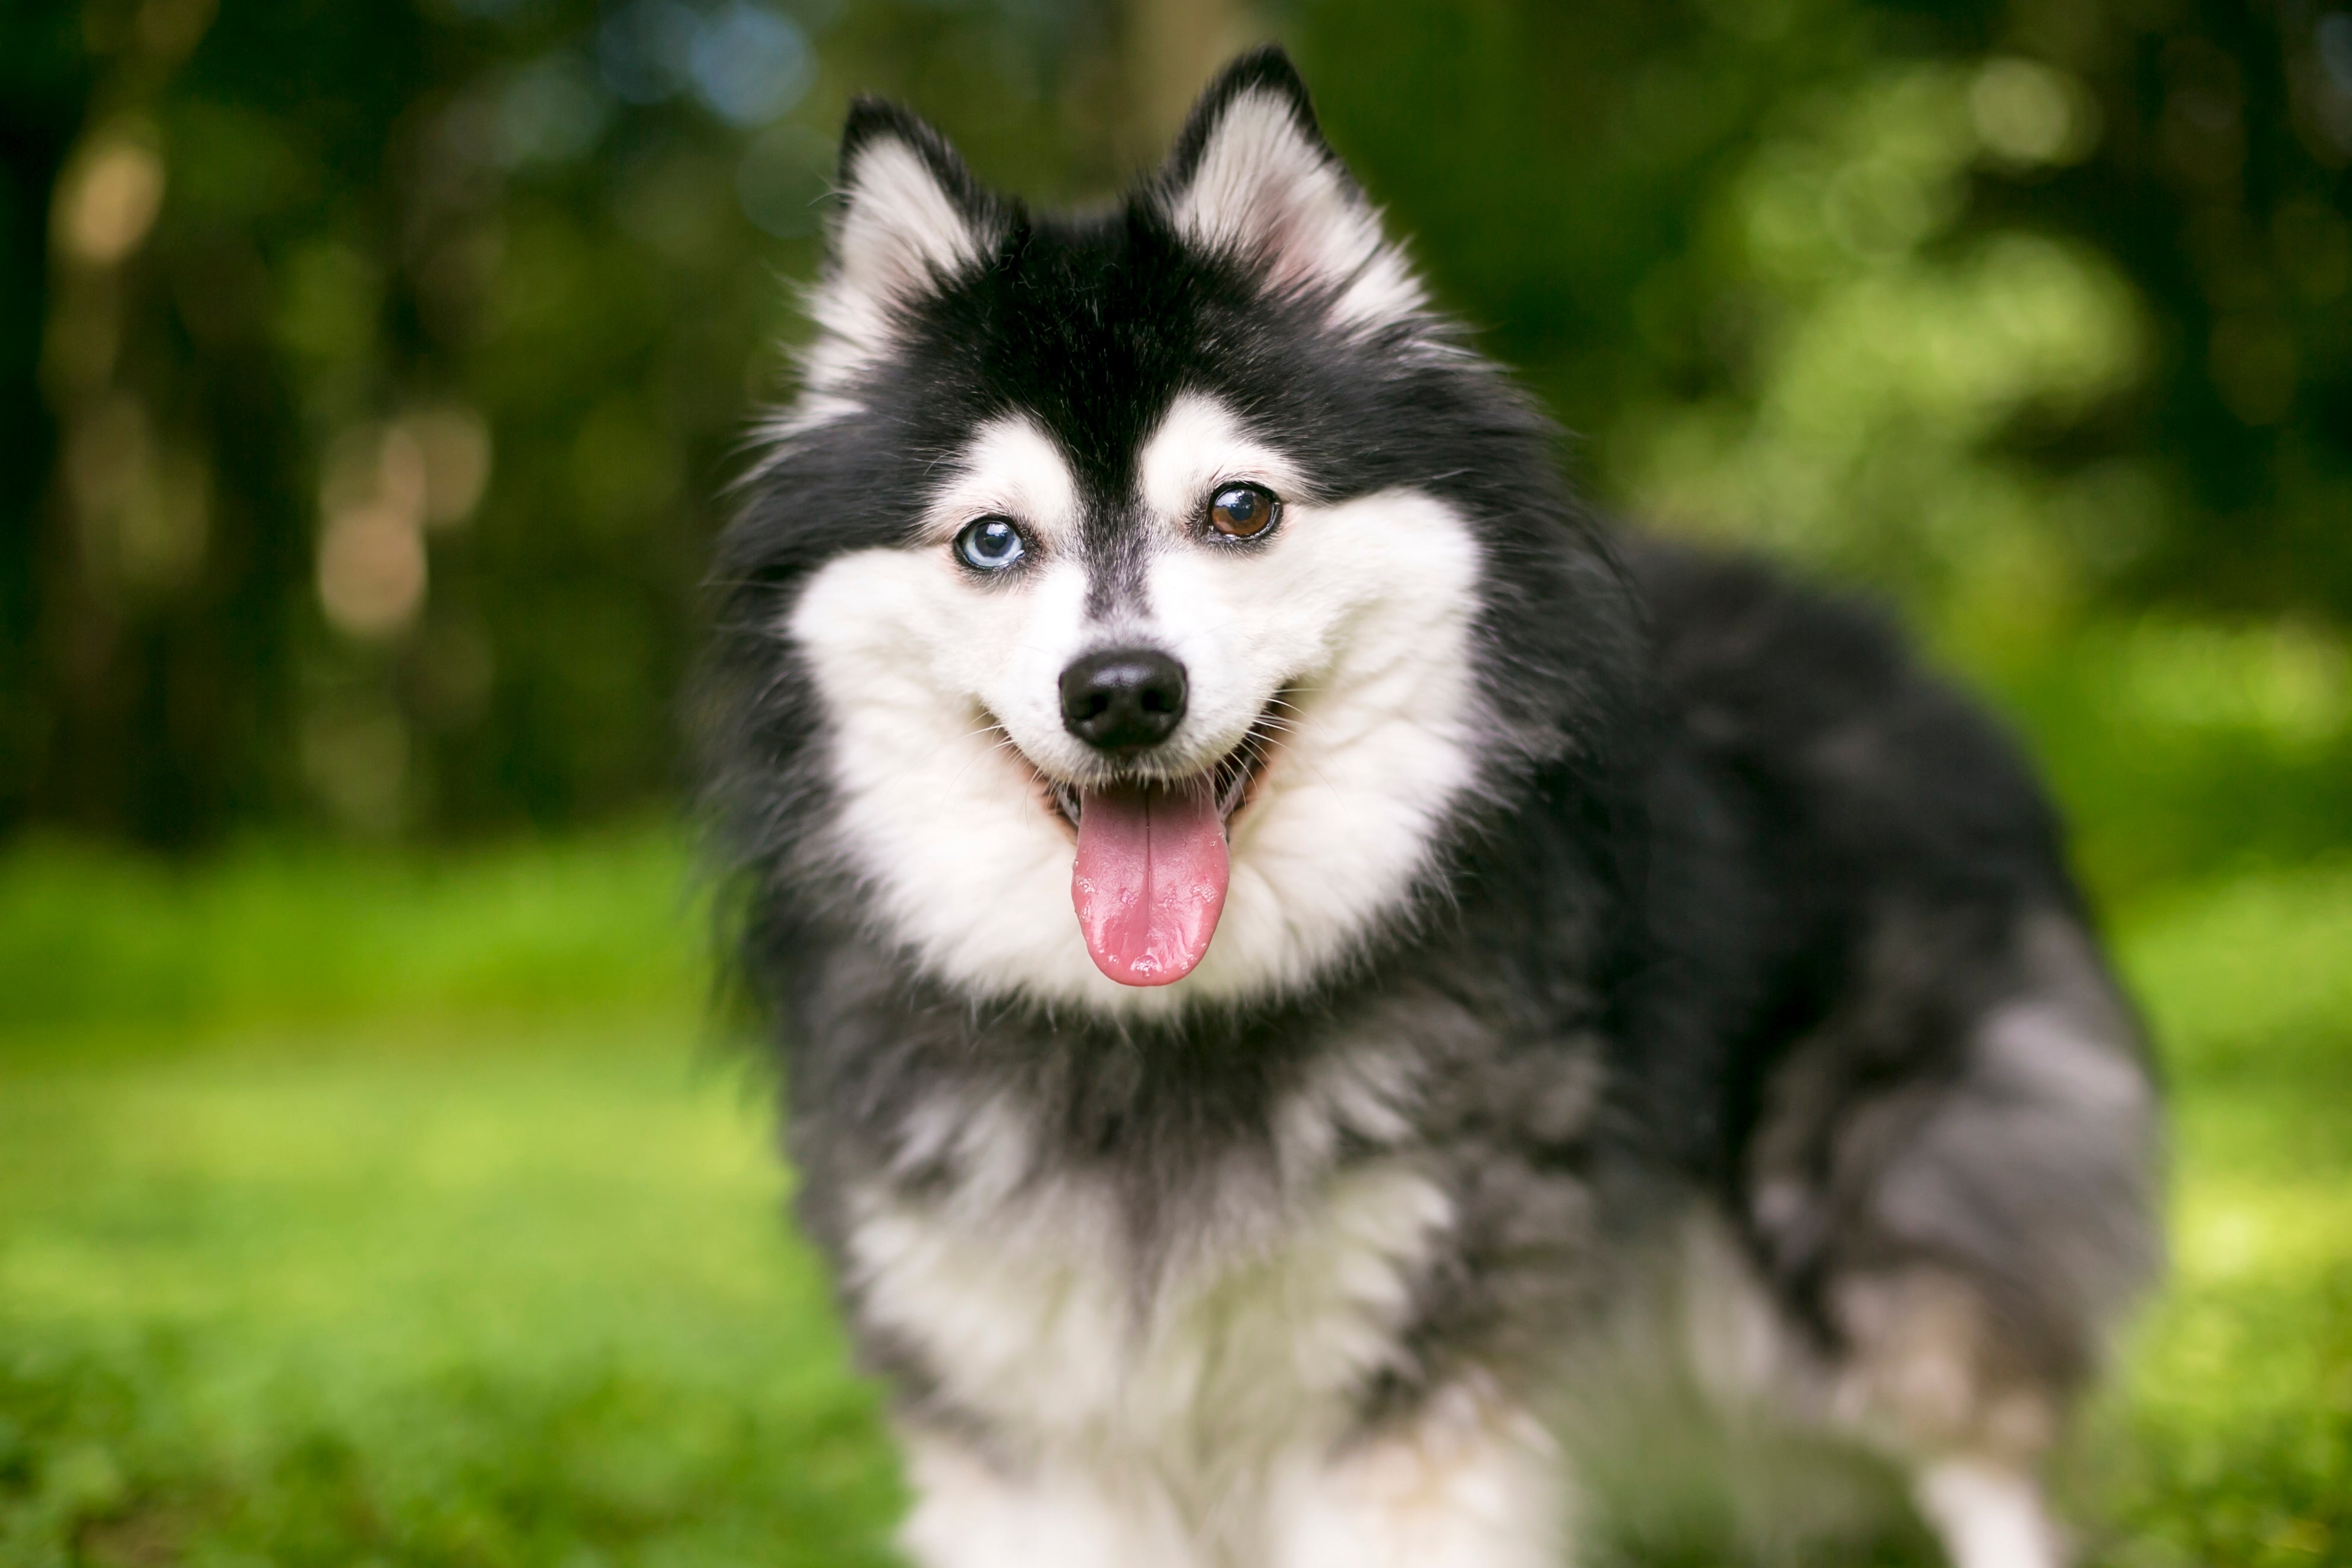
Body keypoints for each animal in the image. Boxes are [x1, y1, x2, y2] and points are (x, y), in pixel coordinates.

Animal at [701, 46, 2164, 1568]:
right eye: (991, 540)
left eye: (1238, 510)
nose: (1121, 694)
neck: (1163, 1035)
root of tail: (1894, 656)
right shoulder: (1026, 1424)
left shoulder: (1415, 1382)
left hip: (1875, 1232)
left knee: (1986, 1448)